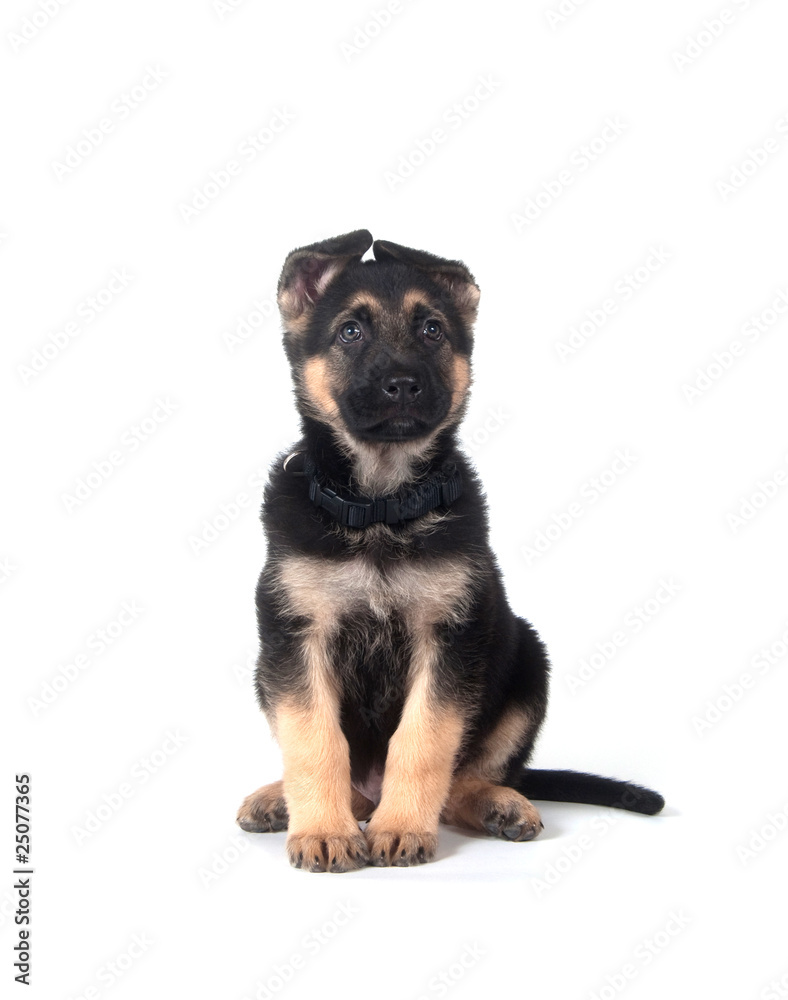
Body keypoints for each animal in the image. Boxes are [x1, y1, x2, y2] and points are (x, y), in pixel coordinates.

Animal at [236, 229, 664, 872]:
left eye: (432, 330)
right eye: (349, 331)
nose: (403, 385)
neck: (382, 509)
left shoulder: (451, 638)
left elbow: (425, 739)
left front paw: (402, 827)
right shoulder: (296, 638)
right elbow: (313, 739)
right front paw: (324, 831)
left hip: (527, 658)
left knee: (464, 779)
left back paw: (494, 804)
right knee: (343, 778)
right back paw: (286, 799)